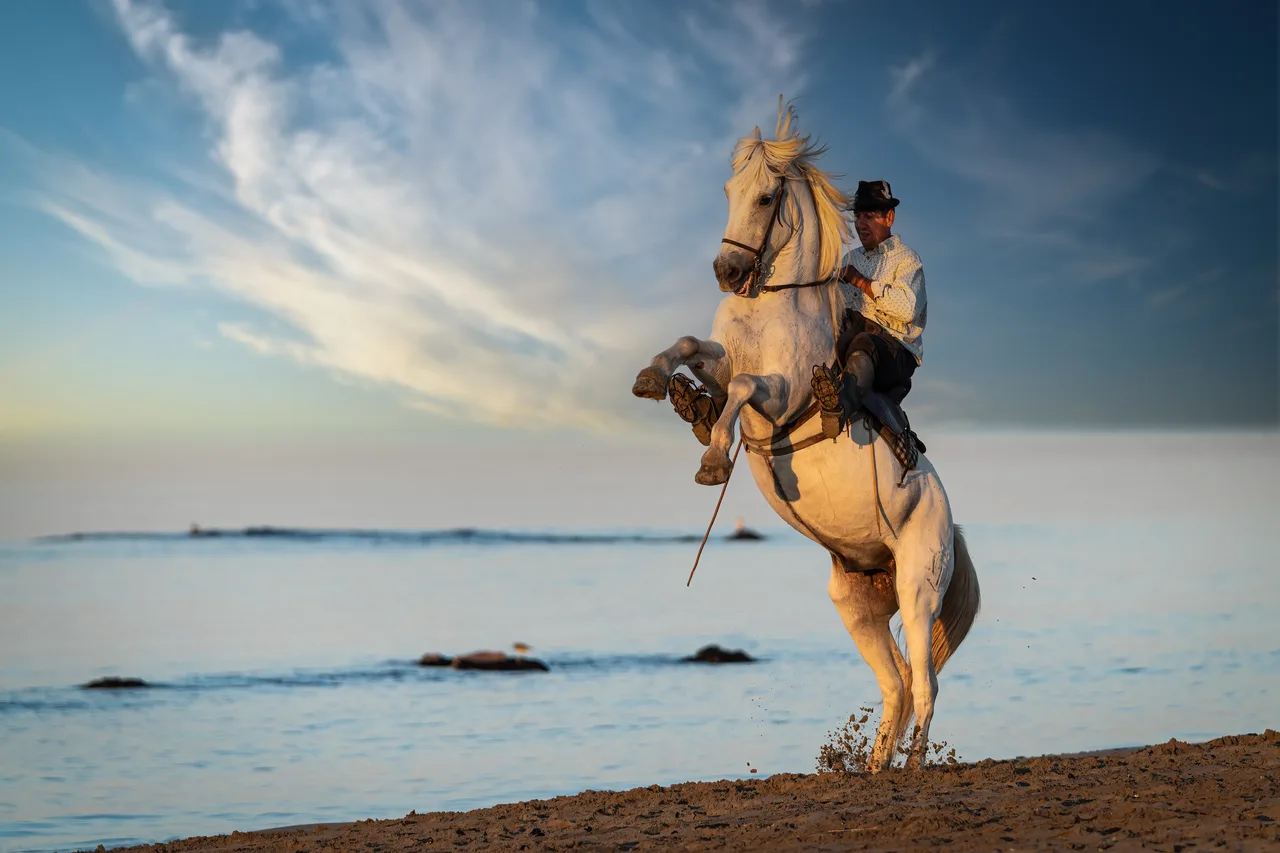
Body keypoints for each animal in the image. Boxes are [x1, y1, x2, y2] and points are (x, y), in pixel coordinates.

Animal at [631, 102, 980, 772]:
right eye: (728, 191)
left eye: (767, 197)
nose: (727, 272)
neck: (773, 305)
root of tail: (950, 524)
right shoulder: (721, 358)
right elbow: (693, 349)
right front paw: (661, 383)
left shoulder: (781, 394)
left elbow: (743, 388)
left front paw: (713, 459)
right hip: (858, 607)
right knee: (896, 686)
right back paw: (872, 770)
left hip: (917, 588)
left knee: (924, 684)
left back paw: (911, 769)